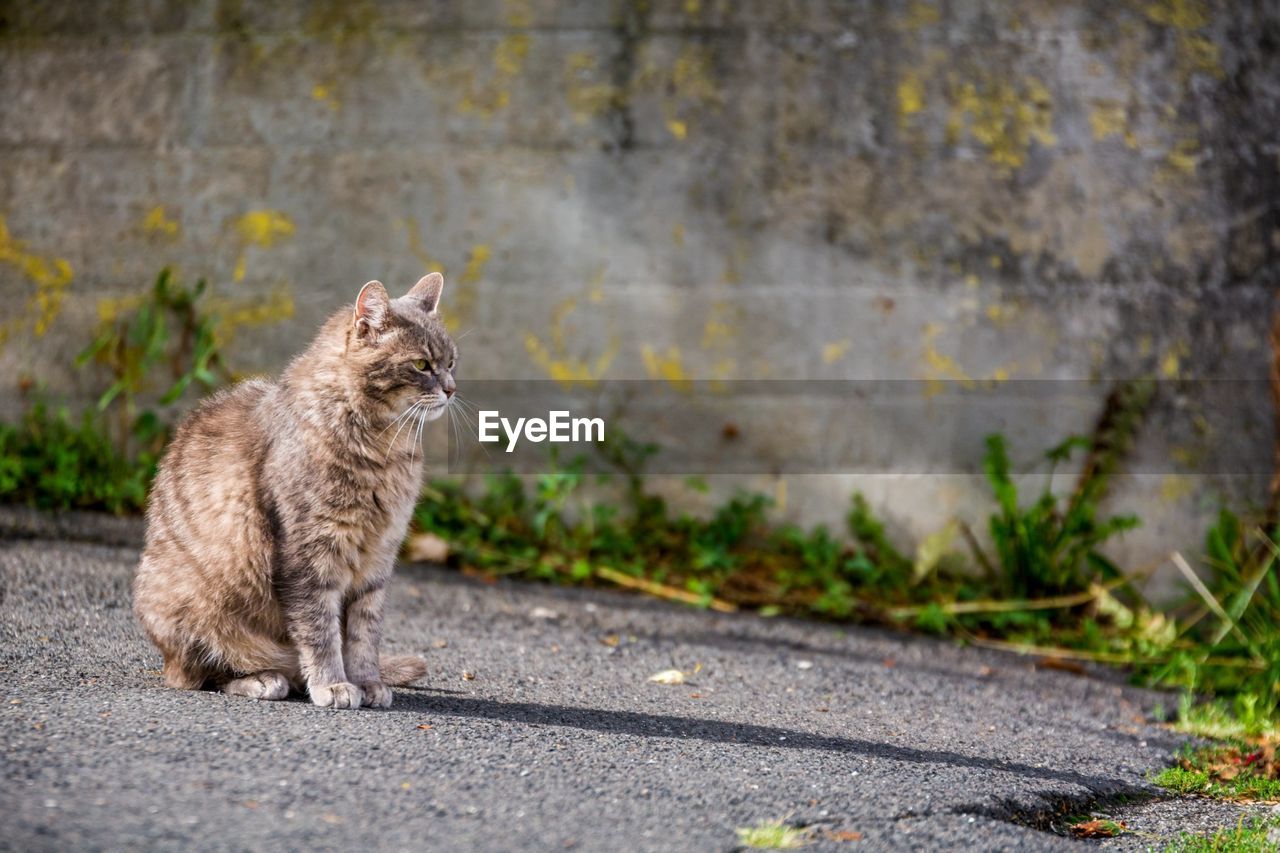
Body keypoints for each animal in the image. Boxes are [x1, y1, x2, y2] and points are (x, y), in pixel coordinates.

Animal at [133, 272, 455, 701]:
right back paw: (262, 678)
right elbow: (319, 630)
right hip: (192, 608)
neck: (385, 450)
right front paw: (333, 683)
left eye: (451, 363)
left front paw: (367, 681)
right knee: (201, 673)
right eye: (421, 364)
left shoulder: (377, 562)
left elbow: (364, 635)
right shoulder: (310, 555)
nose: (451, 389)